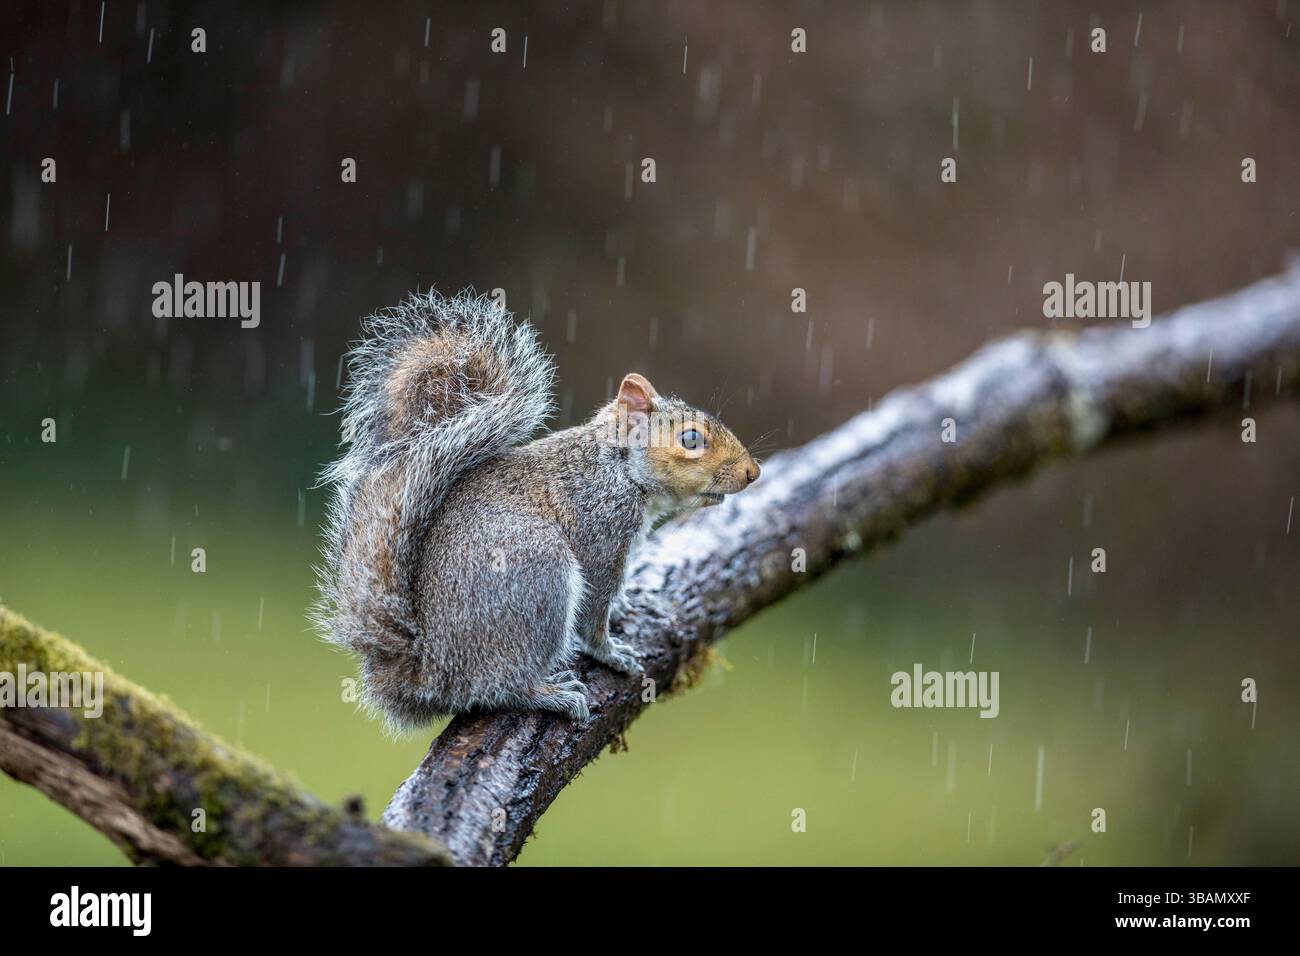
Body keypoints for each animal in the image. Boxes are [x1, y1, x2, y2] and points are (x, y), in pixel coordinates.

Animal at [314, 291, 759, 731]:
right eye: (690, 439)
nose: (753, 472)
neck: (618, 470)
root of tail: (431, 673)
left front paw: (627, 604)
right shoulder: (601, 538)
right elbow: (594, 613)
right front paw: (611, 653)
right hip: (538, 573)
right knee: (499, 686)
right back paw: (547, 694)